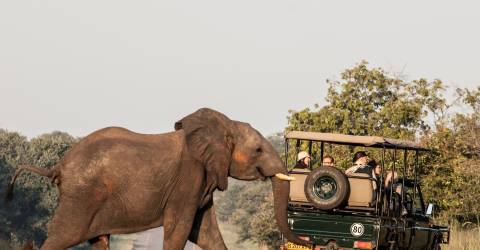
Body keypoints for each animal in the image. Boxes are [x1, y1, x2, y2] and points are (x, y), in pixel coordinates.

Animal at [5, 108, 308, 250]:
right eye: (258, 151)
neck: (223, 126)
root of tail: (58, 166)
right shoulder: (188, 178)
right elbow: (180, 228)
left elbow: (205, 233)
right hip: (80, 198)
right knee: (61, 238)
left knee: (98, 240)